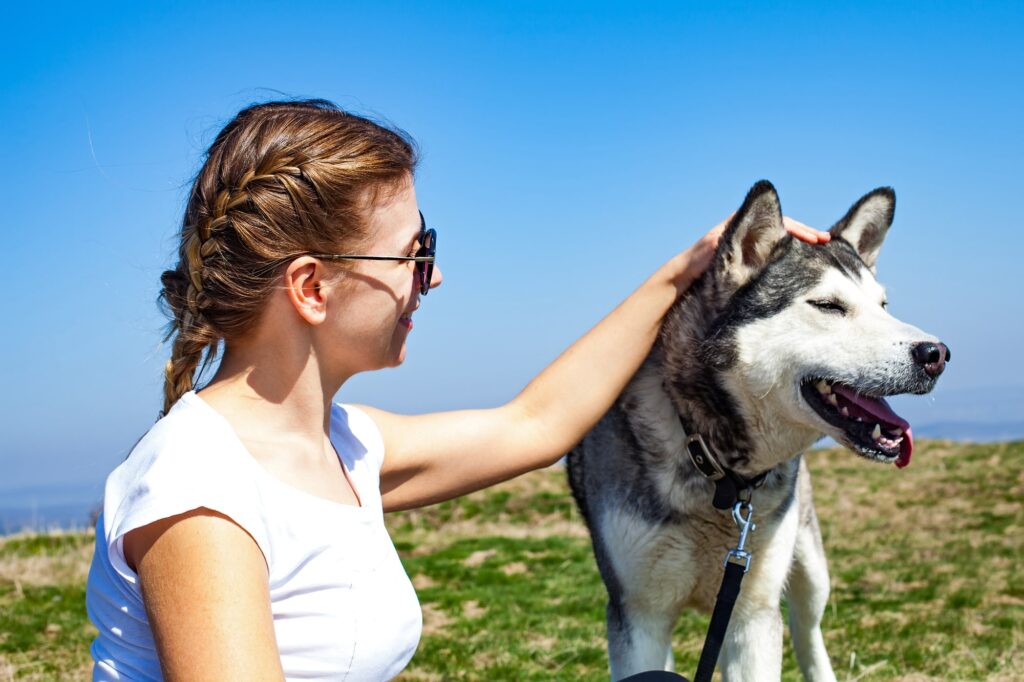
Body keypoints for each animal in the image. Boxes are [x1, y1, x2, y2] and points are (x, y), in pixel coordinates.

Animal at [565, 182, 946, 679]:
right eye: (828, 306)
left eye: (883, 307)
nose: (937, 354)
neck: (716, 467)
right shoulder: (637, 615)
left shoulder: (753, 610)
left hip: (808, 568)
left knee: (807, 630)